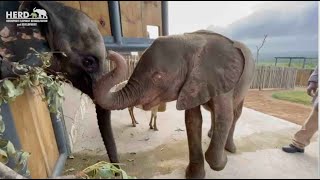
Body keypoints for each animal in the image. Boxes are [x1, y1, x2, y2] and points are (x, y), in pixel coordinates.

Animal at [92, 29, 255, 179]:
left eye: (158, 76)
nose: (109, 53)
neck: (191, 40)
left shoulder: (222, 79)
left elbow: (225, 117)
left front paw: (223, 160)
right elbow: (193, 121)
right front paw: (194, 176)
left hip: (245, 83)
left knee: (235, 114)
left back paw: (230, 149)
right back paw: (211, 136)